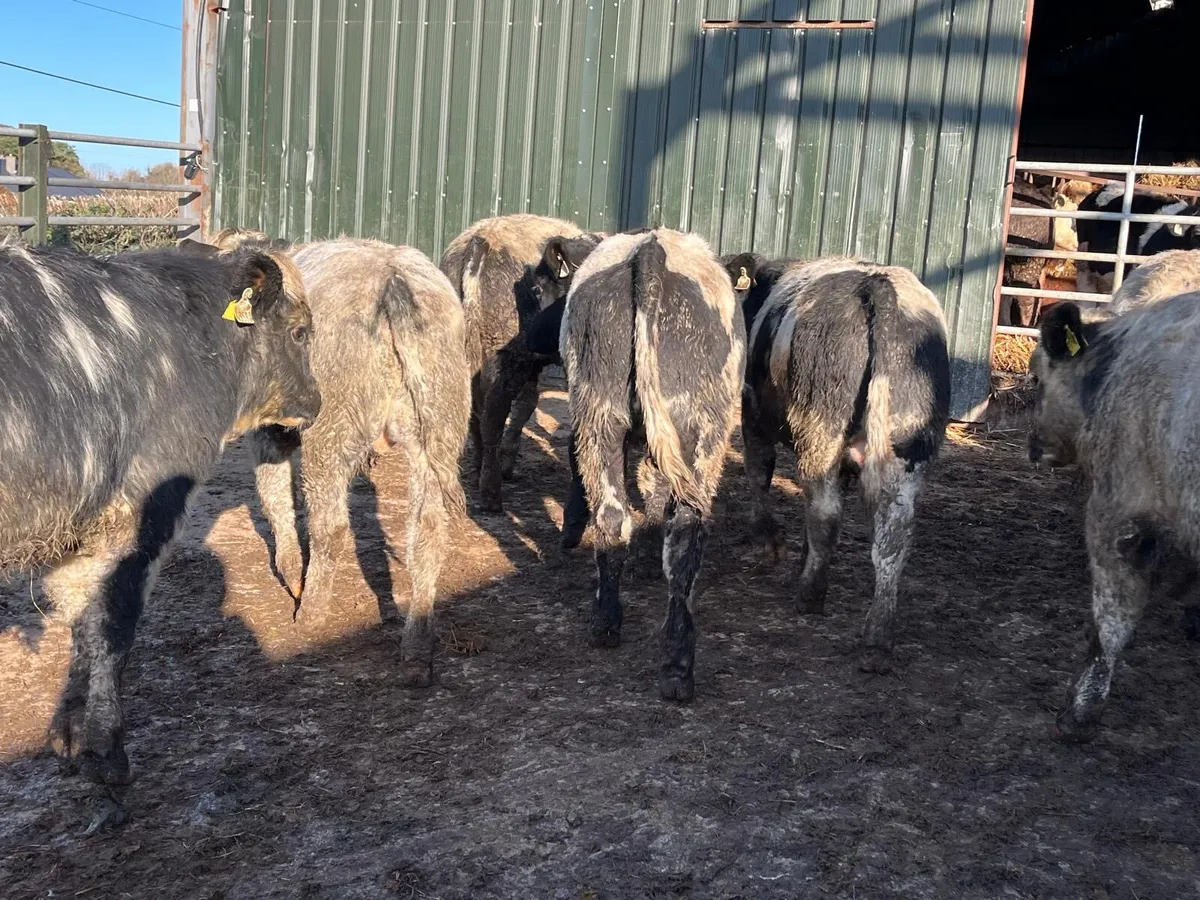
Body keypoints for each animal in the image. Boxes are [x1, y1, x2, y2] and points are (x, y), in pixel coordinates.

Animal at [0, 238, 320, 784]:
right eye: (300, 330)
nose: (316, 403)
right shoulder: (140, 508)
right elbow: (112, 620)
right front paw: (106, 748)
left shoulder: (79, 531)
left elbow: (80, 619)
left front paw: (68, 734)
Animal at [224, 237, 472, 687]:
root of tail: (394, 278)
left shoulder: (268, 427)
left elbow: (273, 494)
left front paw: (290, 573)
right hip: (437, 426)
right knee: (427, 533)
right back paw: (417, 649)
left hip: (332, 427)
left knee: (331, 528)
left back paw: (310, 612)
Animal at [440, 215, 603, 512]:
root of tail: (480, 243)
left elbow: (528, 401)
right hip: (507, 356)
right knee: (493, 413)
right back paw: (491, 496)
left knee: (475, 410)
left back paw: (479, 470)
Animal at [530, 228, 746, 701]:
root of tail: (652, 250)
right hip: (701, 429)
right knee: (682, 532)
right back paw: (674, 662)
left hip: (602, 415)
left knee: (616, 518)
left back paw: (615, 629)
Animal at [737, 256, 951, 673]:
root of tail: (878, 286)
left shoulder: (752, 414)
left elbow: (760, 474)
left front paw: (768, 542)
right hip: (908, 446)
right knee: (894, 533)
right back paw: (878, 635)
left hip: (820, 430)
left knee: (824, 513)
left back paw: (809, 596)